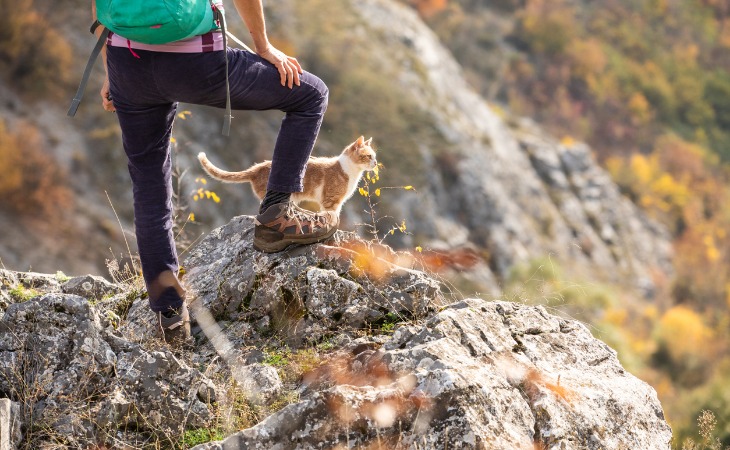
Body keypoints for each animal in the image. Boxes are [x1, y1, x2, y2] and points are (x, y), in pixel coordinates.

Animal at [196, 136, 378, 215]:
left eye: (375, 156)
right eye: (369, 156)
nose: (376, 163)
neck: (351, 172)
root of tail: (257, 167)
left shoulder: (337, 202)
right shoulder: (331, 200)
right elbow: (331, 215)